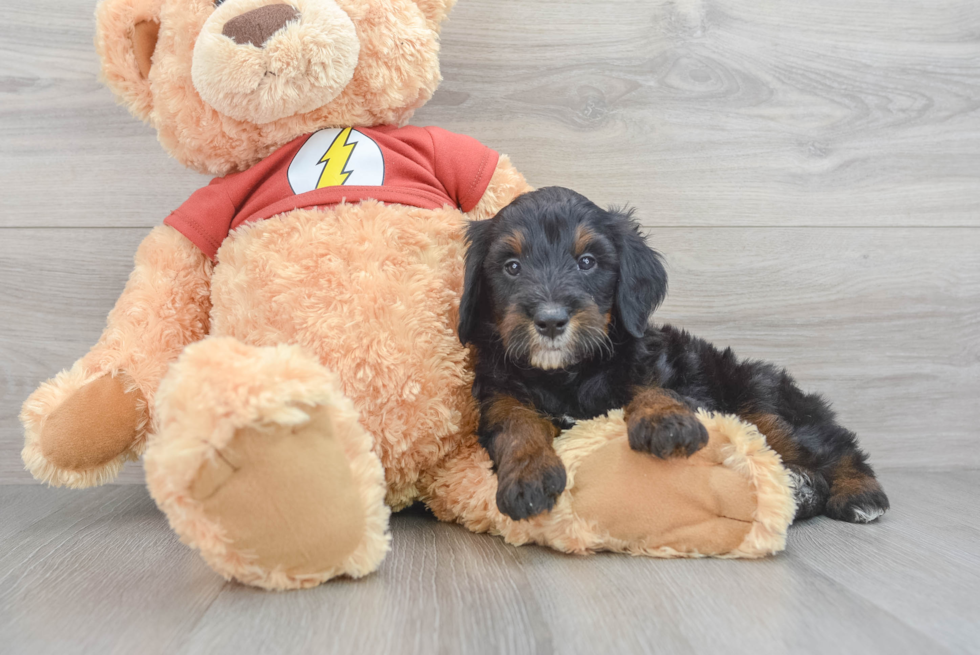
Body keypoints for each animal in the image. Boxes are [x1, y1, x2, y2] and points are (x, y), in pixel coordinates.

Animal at [458, 187, 888, 524]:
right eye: (512, 267)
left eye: (587, 262)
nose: (550, 320)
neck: (567, 373)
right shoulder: (497, 389)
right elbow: (514, 420)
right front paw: (528, 474)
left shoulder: (656, 364)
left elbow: (654, 386)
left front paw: (666, 422)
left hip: (761, 396)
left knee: (832, 444)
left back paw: (860, 494)